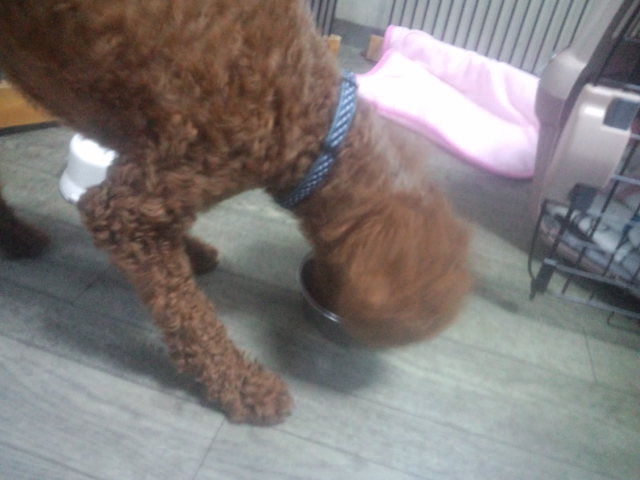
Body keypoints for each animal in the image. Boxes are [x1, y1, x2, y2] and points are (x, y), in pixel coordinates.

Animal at [0, 0, 470, 424]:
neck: (319, 135)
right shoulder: (125, 211)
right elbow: (191, 317)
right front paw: (244, 386)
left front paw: (192, 252)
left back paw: (19, 238)